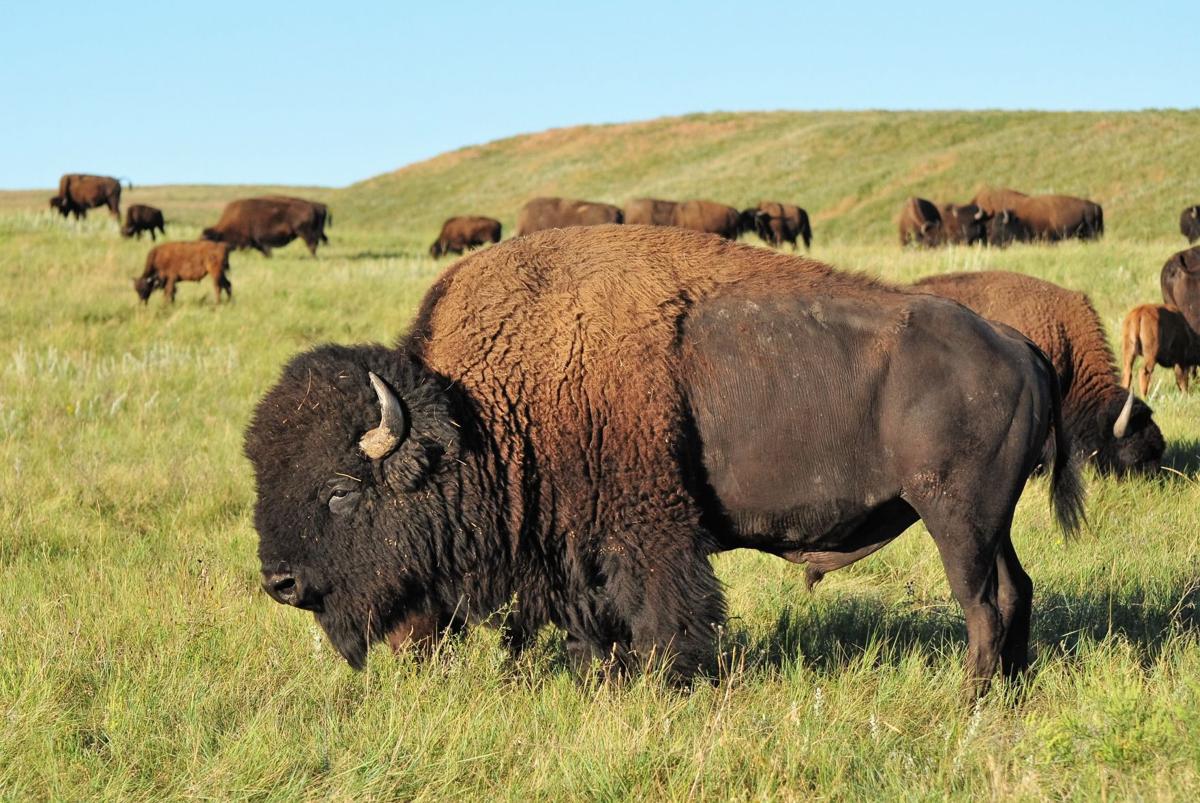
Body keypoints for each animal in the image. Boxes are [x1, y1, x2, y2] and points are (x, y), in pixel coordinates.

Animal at [246, 225, 1083, 698]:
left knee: (981, 601)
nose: (279, 582)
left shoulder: (648, 536)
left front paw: (667, 684)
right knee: (1017, 589)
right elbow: (590, 627)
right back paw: (1013, 687)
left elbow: (666, 617)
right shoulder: (569, 554)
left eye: (341, 491)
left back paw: (971, 698)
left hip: (954, 516)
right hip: (990, 520)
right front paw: (600, 681)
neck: (481, 412)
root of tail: (1018, 344)